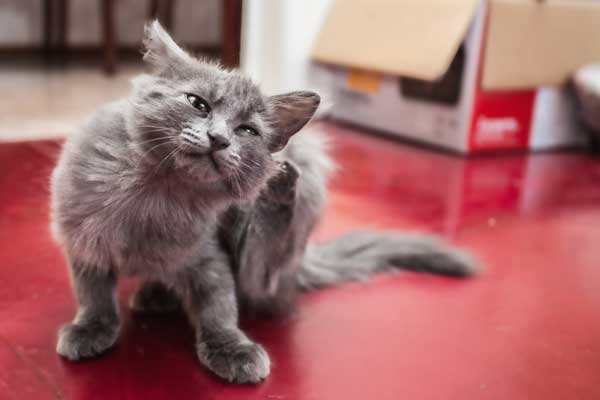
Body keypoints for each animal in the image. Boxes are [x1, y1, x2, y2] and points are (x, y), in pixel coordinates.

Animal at [49, 21, 478, 384]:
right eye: (198, 104)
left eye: (247, 131)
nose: (219, 139)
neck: (157, 196)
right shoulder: (83, 240)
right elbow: (93, 294)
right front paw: (91, 328)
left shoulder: (210, 257)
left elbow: (220, 308)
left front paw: (232, 350)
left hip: (282, 219)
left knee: (263, 268)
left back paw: (278, 186)